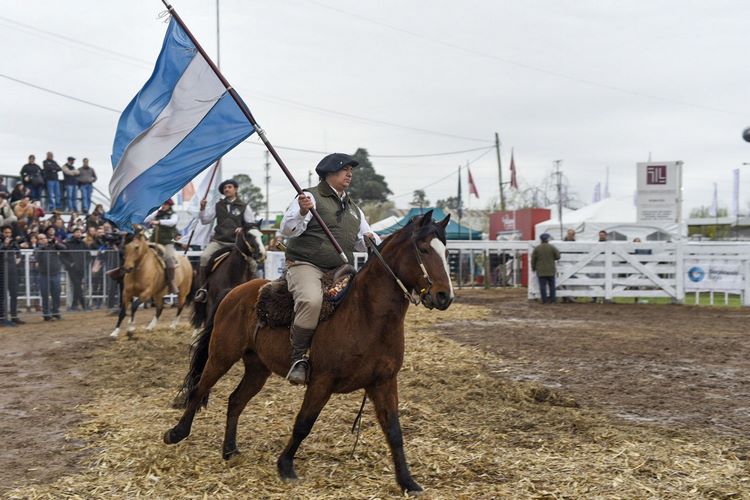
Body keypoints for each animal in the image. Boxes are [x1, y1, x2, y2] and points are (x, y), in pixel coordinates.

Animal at [164, 210, 456, 492]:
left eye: (446, 251)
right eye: (424, 249)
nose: (444, 296)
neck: (366, 313)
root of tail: (234, 292)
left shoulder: (383, 382)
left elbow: (394, 431)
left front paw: (408, 481)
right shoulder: (321, 382)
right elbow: (304, 423)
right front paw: (285, 466)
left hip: (258, 368)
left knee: (235, 400)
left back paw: (229, 450)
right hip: (221, 356)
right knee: (199, 389)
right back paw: (176, 433)